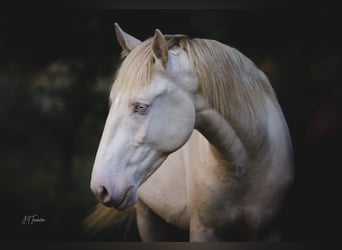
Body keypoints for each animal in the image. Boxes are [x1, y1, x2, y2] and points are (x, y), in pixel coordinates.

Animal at [86, 23, 294, 242]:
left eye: (141, 107)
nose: (101, 189)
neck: (247, 165)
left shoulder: (270, 230)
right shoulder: (203, 230)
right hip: (146, 215)